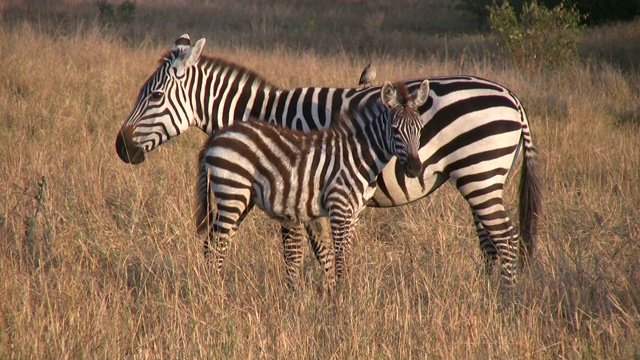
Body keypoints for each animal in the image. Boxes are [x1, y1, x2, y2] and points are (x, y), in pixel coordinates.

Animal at [195, 79, 430, 290]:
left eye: (420, 129)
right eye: (395, 129)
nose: (415, 168)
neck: (359, 155)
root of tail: (218, 135)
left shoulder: (354, 213)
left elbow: (347, 255)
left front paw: (347, 291)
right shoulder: (338, 207)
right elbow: (339, 258)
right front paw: (342, 296)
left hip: (239, 198)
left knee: (212, 242)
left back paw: (212, 287)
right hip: (232, 191)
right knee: (217, 243)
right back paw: (215, 292)